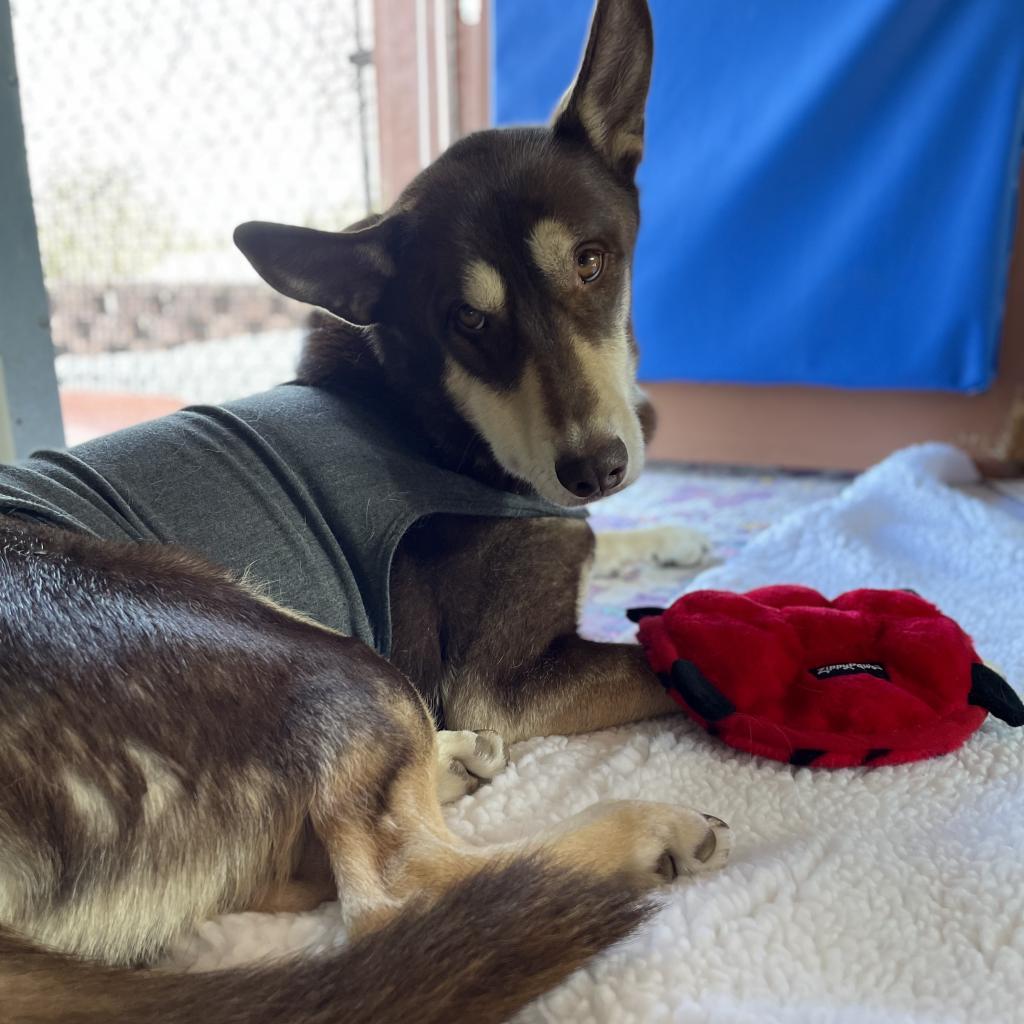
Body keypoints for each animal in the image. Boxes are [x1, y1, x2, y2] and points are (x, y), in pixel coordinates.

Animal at [4, 4, 733, 1019]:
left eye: (593, 264)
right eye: (467, 321)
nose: (596, 467)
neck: (434, 416)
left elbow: (612, 547)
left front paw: (669, 534)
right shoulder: (506, 679)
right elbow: (659, 661)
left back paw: (450, 765)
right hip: (315, 657)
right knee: (405, 898)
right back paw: (630, 835)